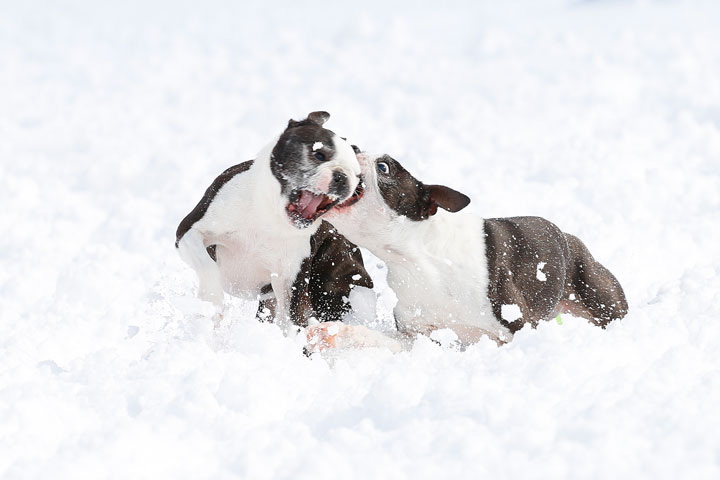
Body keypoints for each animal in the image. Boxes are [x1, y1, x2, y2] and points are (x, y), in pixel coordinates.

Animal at [173, 112, 366, 330]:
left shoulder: (291, 280)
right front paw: (211, 301)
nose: (342, 176)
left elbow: (292, 319)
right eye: (319, 155)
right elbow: (207, 266)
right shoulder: (189, 232)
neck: (271, 218)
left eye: (357, 175)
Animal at [306, 152, 628, 350]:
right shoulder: (417, 335)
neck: (415, 258)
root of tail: (569, 237)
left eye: (383, 168)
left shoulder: (515, 326)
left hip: (599, 295)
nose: (352, 146)